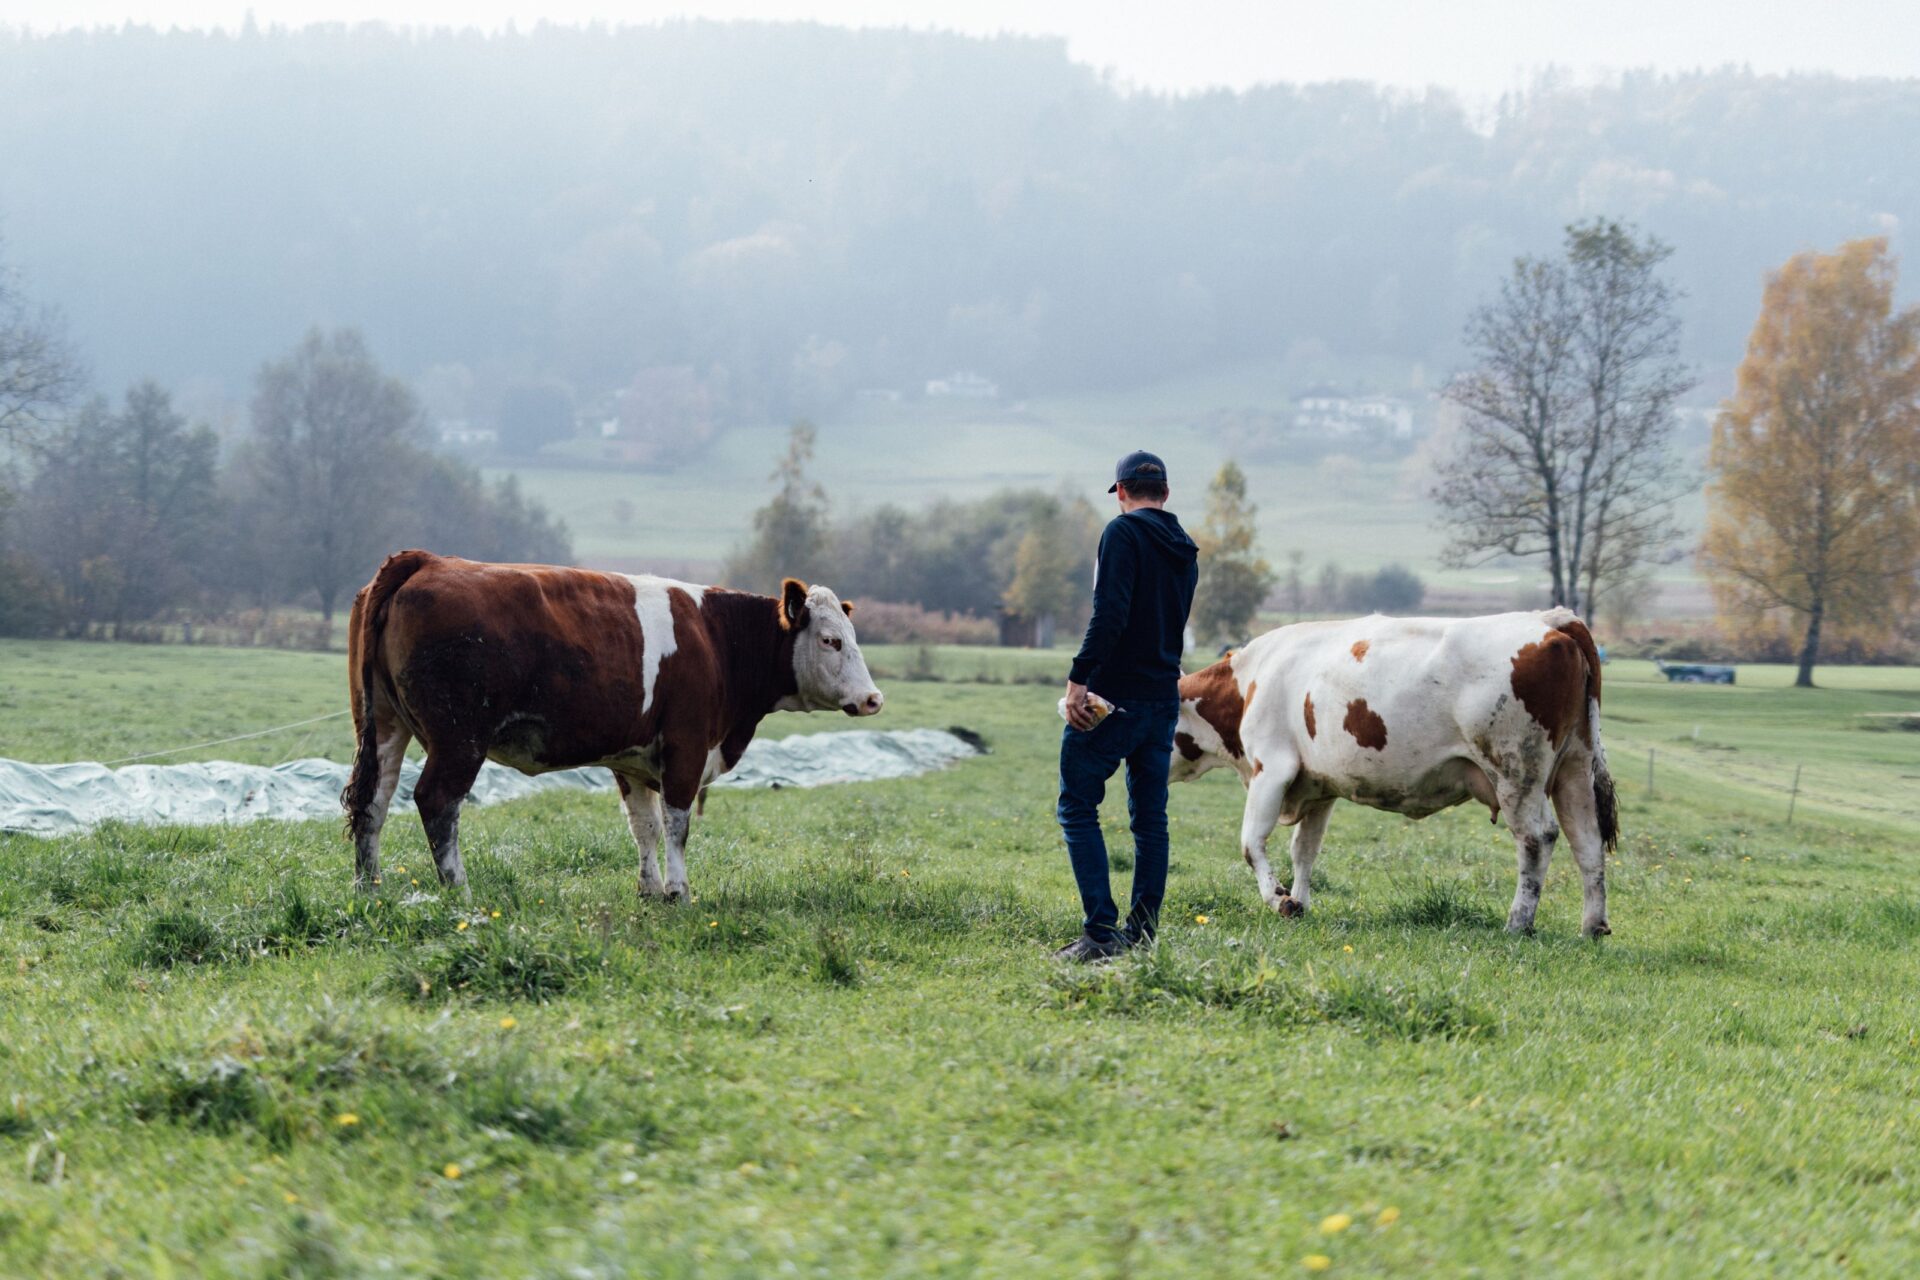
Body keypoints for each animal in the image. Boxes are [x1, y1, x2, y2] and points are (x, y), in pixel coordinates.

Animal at [341, 551, 884, 901]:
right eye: (832, 640)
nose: (873, 699)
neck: (717, 640)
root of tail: (427, 560)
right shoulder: (686, 747)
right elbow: (677, 824)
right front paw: (678, 892)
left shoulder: (631, 759)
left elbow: (643, 826)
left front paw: (649, 889)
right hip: (459, 740)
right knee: (436, 802)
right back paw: (460, 892)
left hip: (384, 724)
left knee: (372, 803)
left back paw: (370, 890)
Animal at [1170, 609, 1618, 937]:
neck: (1248, 682)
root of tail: (1550, 619)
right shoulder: (1320, 787)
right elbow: (1304, 850)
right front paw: (1300, 902)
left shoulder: (1272, 767)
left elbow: (1251, 843)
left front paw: (1279, 900)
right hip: (1575, 766)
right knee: (1587, 841)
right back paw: (1592, 927)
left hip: (1516, 771)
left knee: (1537, 839)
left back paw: (1518, 923)